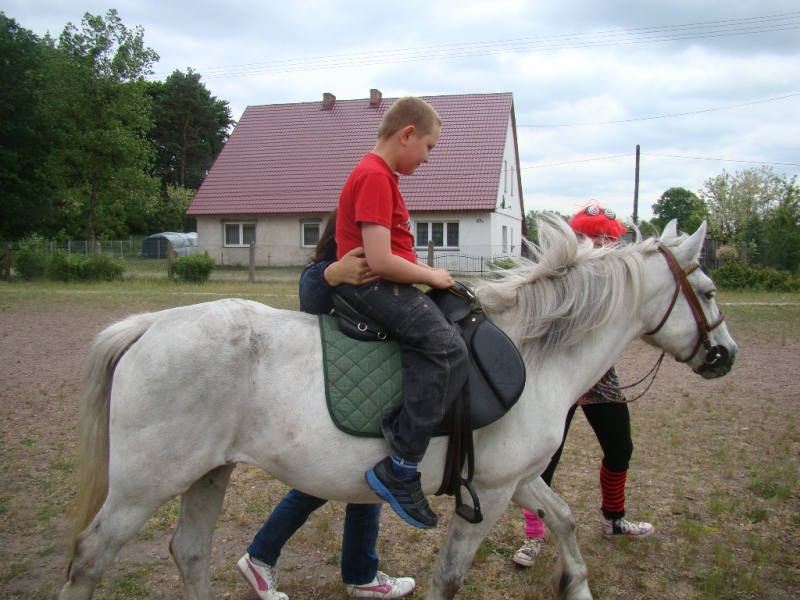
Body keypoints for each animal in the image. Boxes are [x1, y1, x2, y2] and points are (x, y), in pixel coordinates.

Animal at [57, 219, 736, 600]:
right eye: (705, 291)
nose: (725, 355)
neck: (534, 352)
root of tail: (149, 325)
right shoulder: (489, 493)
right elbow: (450, 576)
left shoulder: (513, 480)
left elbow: (564, 520)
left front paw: (576, 585)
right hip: (145, 484)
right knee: (91, 556)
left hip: (207, 474)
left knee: (191, 554)